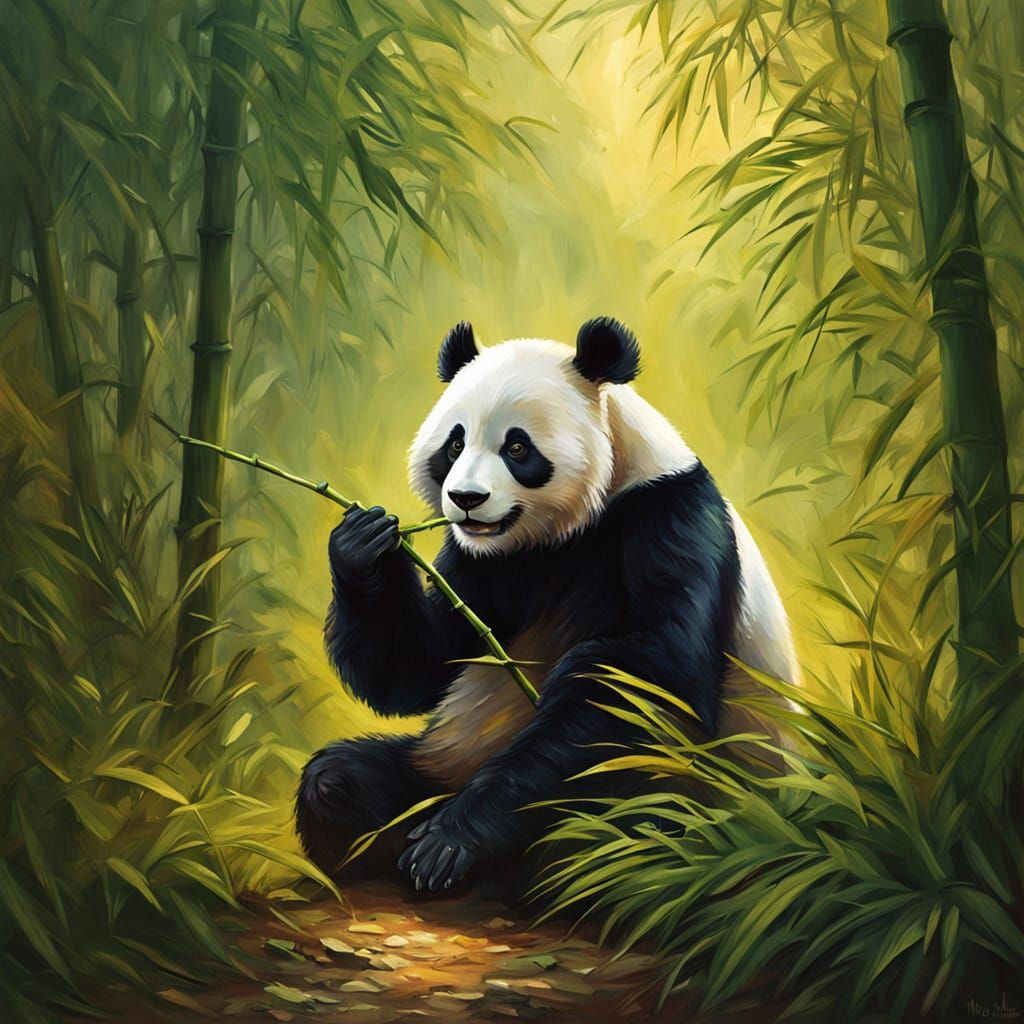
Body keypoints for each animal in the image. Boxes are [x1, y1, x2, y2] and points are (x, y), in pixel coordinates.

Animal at [295, 317, 799, 896]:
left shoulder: (668, 514)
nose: (465, 499)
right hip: (443, 760)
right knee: (341, 781)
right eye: (455, 442)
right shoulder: (488, 559)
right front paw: (364, 541)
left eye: (517, 447)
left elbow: (647, 675)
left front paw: (453, 840)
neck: (564, 530)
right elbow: (425, 661)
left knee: (626, 830)